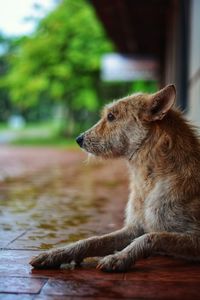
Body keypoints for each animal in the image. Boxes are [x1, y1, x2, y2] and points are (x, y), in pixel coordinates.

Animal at [30, 85, 200, 272]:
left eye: (111, 116)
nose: (78, 139)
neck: (149, 180)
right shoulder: (133, 228)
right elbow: (92, 240)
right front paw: (57, 253)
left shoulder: (194, 238)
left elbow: (152, 237)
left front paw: (120, 257)